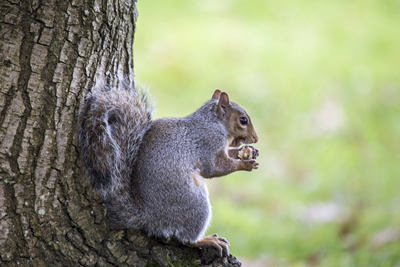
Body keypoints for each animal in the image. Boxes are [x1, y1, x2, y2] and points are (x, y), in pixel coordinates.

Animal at [78, 79, 260, 258]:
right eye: (243, 120)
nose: (255, 138)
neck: (213, 122)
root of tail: (149, 216)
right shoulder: (208, 143)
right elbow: (214, 168)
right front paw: (245, 164)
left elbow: (229, 153)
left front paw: (248, 152)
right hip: (195, 204)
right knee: (186, 239)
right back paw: (207, 240)